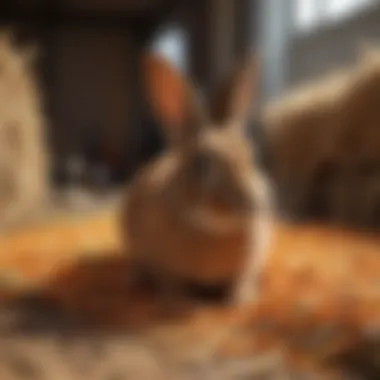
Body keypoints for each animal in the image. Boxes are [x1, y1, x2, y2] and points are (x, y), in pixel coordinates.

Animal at [121, 52, 274, 312]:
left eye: (251, 154)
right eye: (201, 164)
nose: (253, 202)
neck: (212, 230)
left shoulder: (251, 260)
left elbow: (242, 277)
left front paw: (239, 300)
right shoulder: (163, 265)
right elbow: (169, 282)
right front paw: (181, 303)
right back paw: (134, 279)